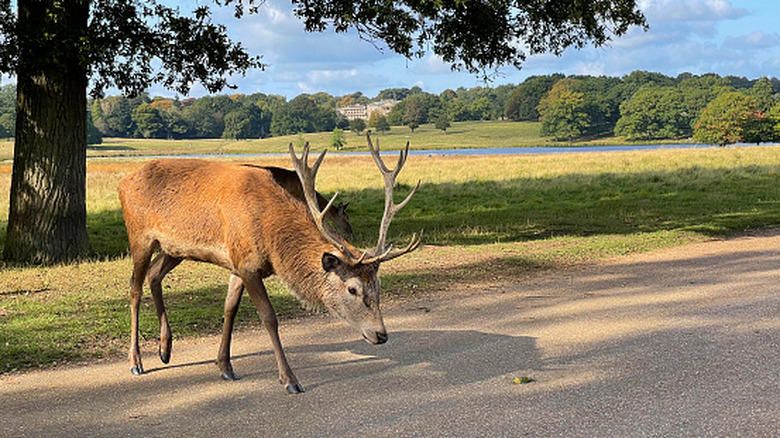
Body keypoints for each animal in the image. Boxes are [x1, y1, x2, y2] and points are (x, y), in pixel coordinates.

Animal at [117, 134, 420, 393]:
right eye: (352, 289)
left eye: (378, 284)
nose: (381, 334)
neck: (271, 236)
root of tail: (123, 182)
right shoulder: (247, 265)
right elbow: (269, 317)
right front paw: (290, 380)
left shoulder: (237, 262)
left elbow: (229, 308)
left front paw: (225, 366)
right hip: (139, 235)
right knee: (134, 288)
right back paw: (136, 362)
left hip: (174, 249)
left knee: (154, 275)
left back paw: (165, 349)